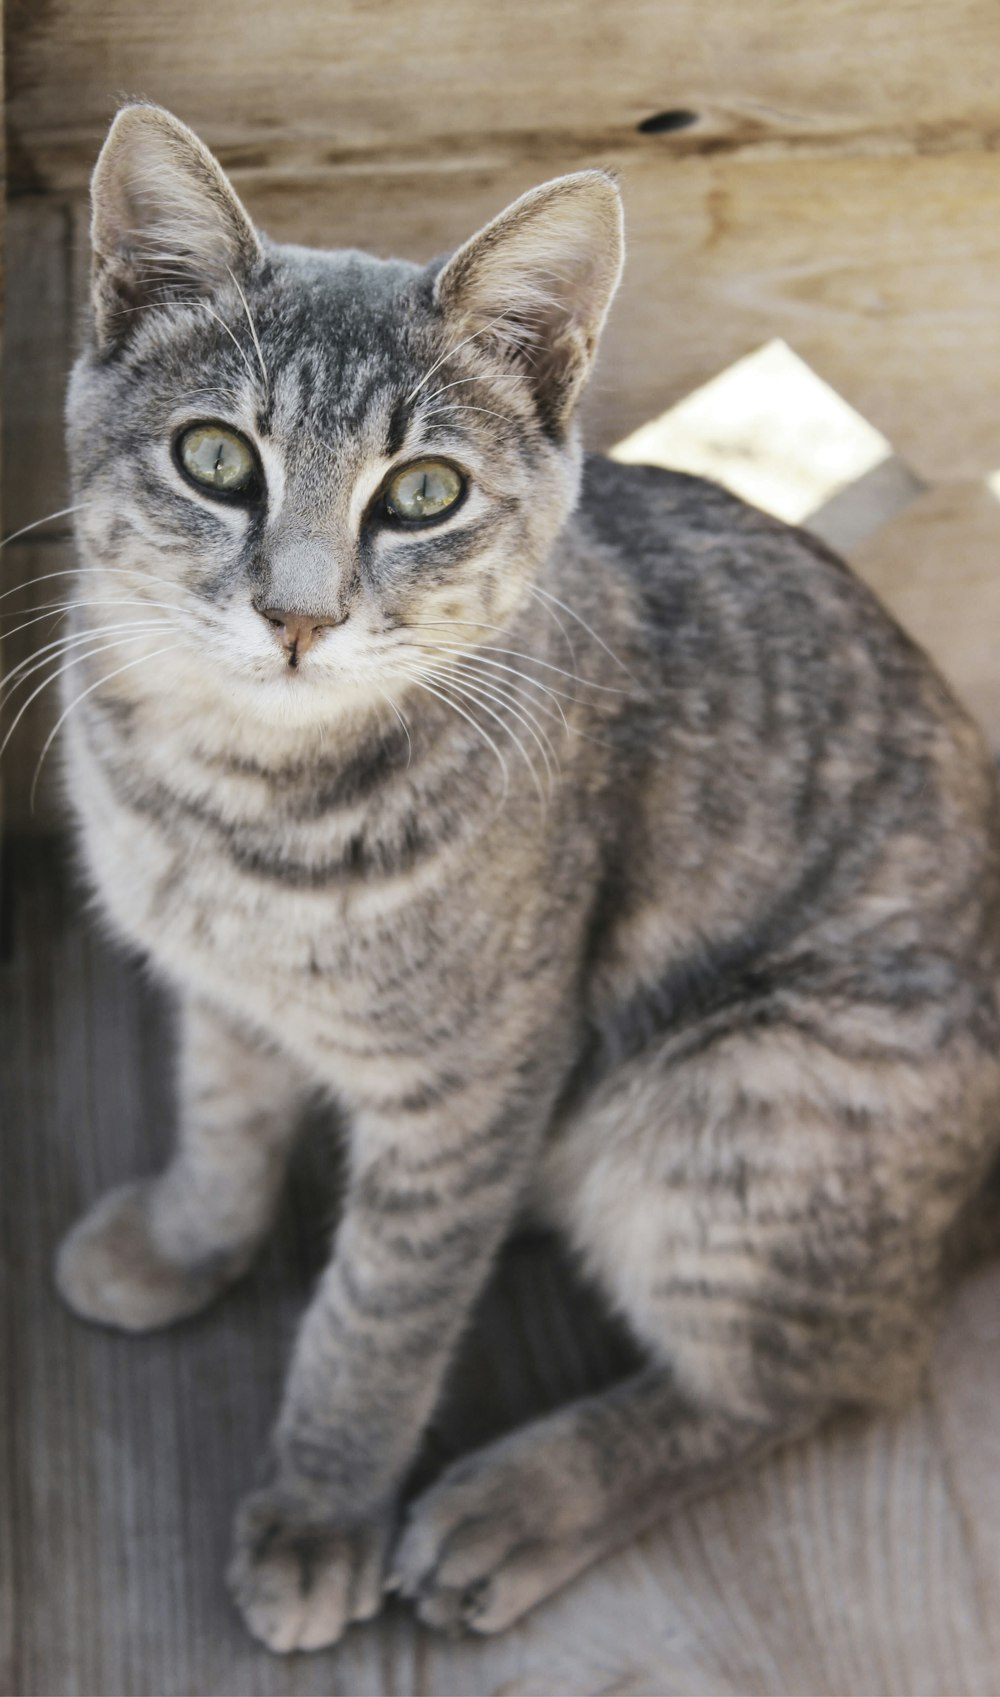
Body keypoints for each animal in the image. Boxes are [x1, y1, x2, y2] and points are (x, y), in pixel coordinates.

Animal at [52, 99, 998, 1649]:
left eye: (423, 493)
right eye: (216, 460)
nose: (298, 616)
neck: (232, 790)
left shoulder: (472, 1087)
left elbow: (376, 1316)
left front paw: (318, 1509)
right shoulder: (223, 989)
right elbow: (224, 1116)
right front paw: (190, 1239)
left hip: (740, 1099)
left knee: (823, 1372)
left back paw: (525, 1497)